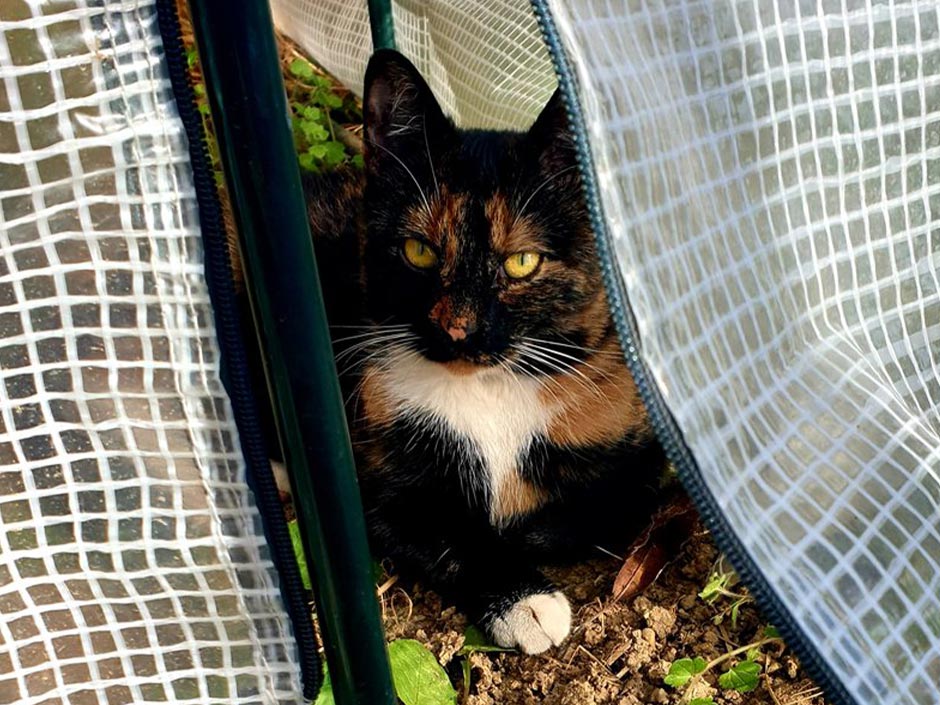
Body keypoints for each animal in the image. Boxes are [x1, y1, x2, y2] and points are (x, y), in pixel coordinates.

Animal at [302, 51, 668, 656]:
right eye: (418, 251)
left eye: (522, 261)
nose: (458, 330)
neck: (490, 388)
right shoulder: (369, 467)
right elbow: (450, 534)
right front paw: (525, 601)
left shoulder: (641, 443)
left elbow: (606, 507)